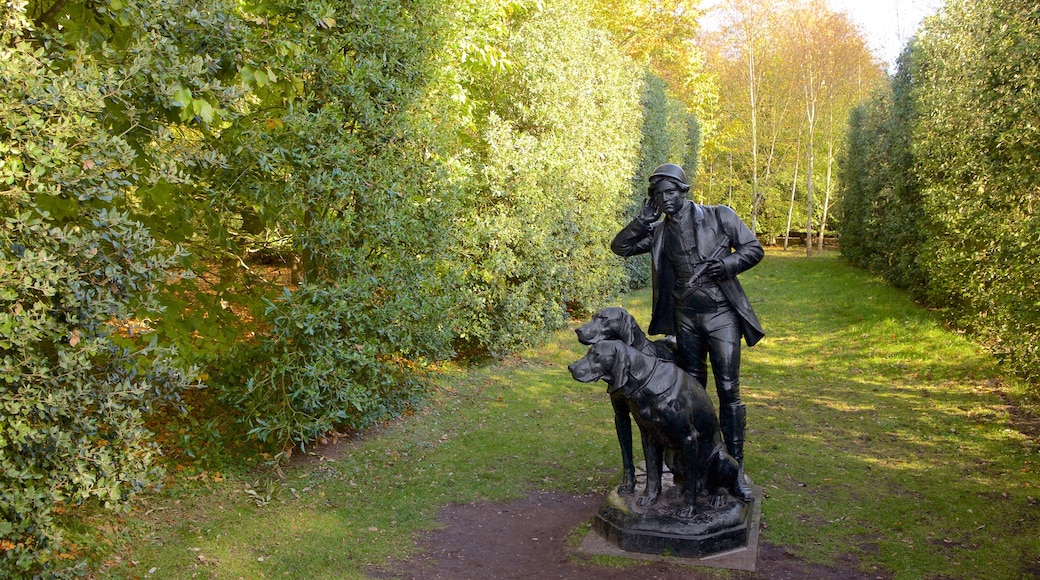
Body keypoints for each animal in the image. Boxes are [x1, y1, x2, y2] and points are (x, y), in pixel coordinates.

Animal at [569, 340, 748, 517]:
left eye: (596, 354)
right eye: (589, 352)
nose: (570, 367)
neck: (645, 381)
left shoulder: (689, 439)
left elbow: (689, 480)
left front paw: (689, 509)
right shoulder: (649, 435)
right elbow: (653, 472)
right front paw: (650, 498)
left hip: (721, 458)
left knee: (715, 485)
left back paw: (719, 497)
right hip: (671, 456)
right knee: (689, 482)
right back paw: (677, 491)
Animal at [574, 309, 678, 494]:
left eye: (603, 318)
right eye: (593, 316)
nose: (578, 330)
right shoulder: (621, 416)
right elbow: (626, 454)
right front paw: (629, 485)